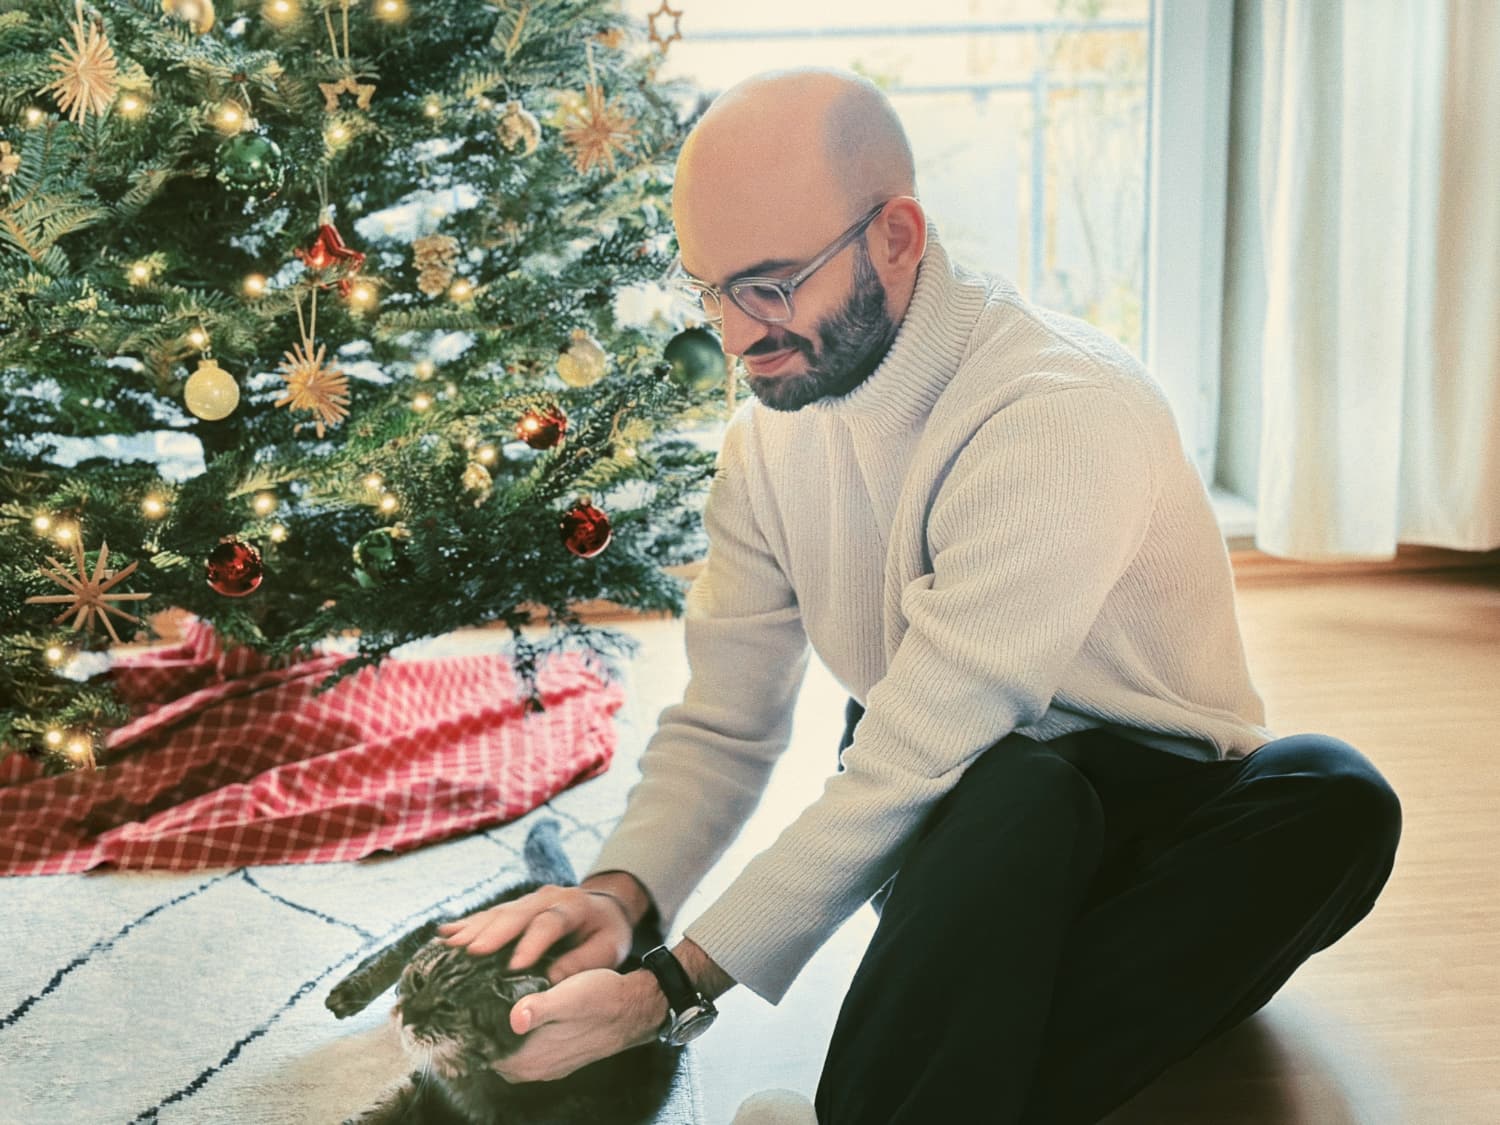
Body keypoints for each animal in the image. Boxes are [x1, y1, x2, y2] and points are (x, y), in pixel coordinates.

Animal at [331, 822, 684, 1125]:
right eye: (419, 981)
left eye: (447, 1008)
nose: (405, 1015)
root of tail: (571, 886)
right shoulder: (427, 1089)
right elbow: (376, 1112)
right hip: (479, 916)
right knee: (432, 923)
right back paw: (350, 992)